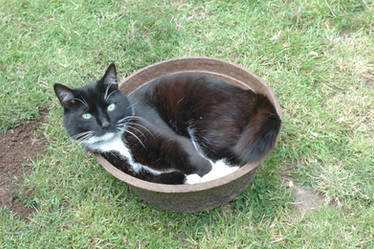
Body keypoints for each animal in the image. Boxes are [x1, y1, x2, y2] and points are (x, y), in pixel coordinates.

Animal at [53, 63, 280, 185]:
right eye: (86, 116)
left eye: (110, 106)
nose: (105, 123)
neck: (117, 142)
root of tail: (255, 96)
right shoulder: (128, 168)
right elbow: (156, 179)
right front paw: (187, 178)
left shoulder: (157, 133)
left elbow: (187, 152)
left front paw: (199, 176)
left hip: (209, 125)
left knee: (231, 159)